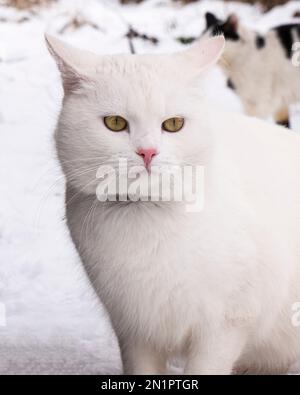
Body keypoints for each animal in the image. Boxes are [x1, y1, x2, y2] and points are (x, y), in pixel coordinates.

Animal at [45, 34, 300, 374]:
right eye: (115, 123)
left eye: (174, 124)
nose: (148, 152)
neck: (148, 218)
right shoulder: (133, 329)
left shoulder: (226, 325)